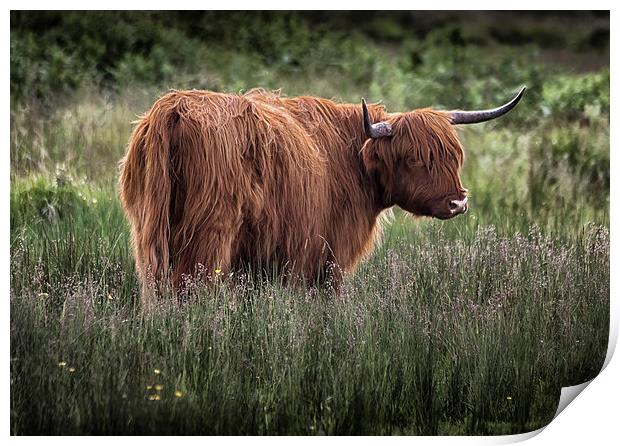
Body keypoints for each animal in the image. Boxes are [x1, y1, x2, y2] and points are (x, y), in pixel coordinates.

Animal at [120, 87, 524, 302]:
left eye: (454, 156)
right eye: (414, 158)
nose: (458, 202)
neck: (352, 158)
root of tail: (173, 108)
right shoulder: (325, 256)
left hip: (149, 233)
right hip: (209, 235)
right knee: (190, 290)